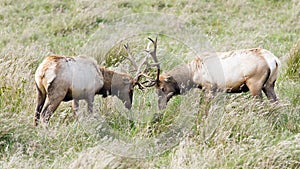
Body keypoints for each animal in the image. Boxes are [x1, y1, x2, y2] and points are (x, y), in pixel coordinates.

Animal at [145, 37, 282, 109]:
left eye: (162, 88)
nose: (160, 106)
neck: (193, 74)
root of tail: (273, 60)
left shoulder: (209, 87)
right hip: (269, 84)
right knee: (276, 103)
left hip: (255, 83)